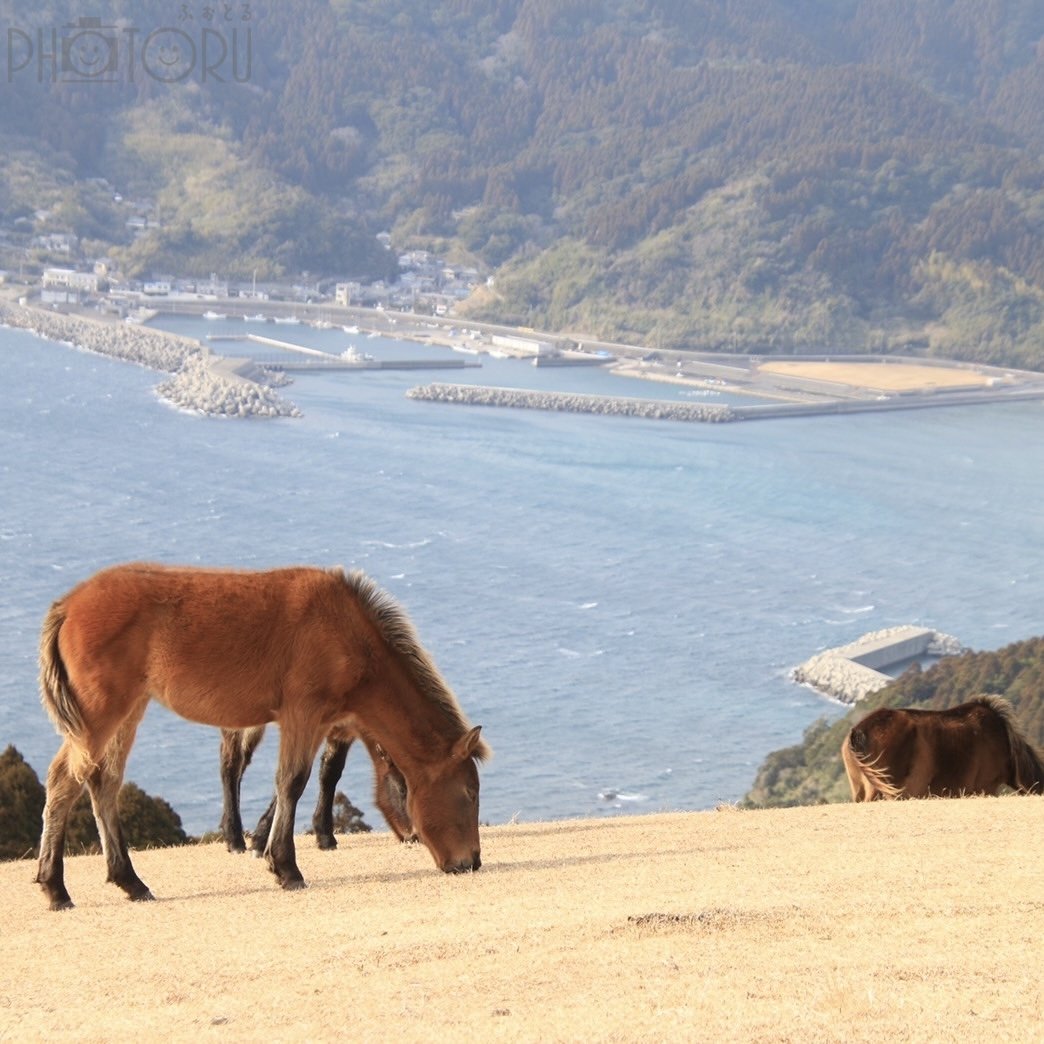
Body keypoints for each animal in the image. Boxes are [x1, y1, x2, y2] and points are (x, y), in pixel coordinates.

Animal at [218, 722, 413, 851]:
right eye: (403, 790)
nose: (414, 836)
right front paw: (259, 838)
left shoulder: (341, 731)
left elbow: (331, 771)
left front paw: (325, 836)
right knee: (231, 764)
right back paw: (235, 839)